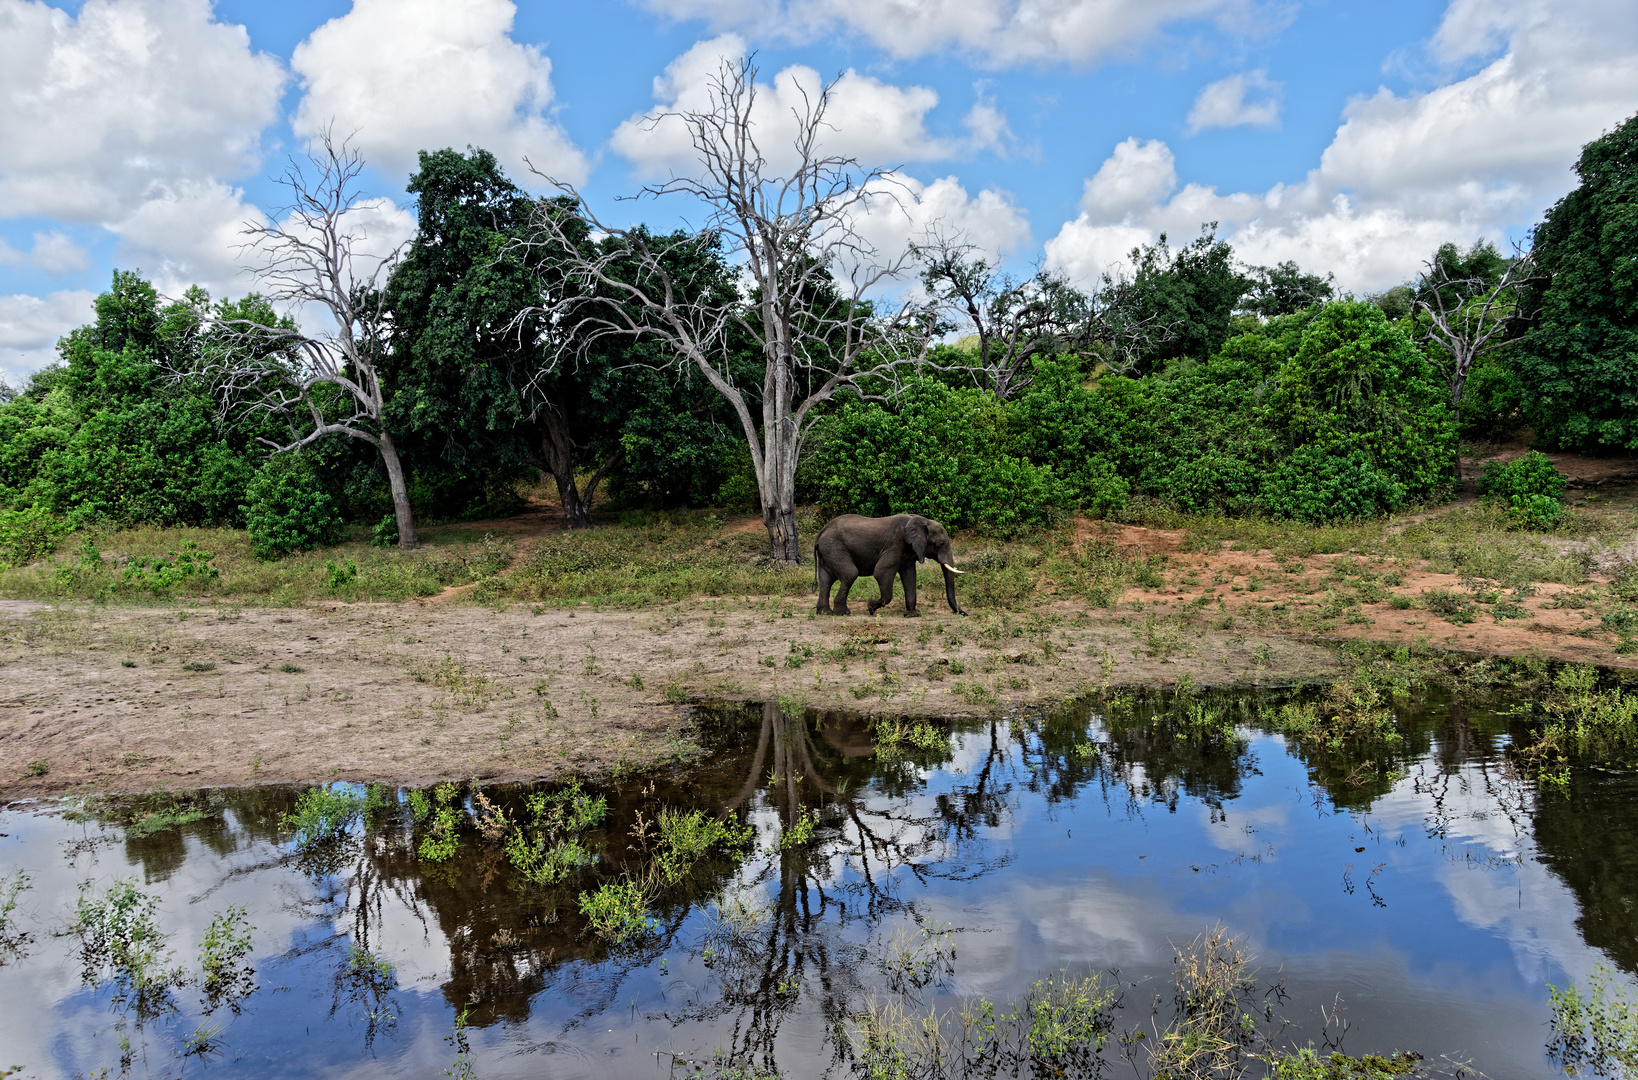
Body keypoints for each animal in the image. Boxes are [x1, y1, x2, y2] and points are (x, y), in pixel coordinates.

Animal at [815, 514, 963, 616]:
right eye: (941, 544)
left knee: (826, 580)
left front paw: (913, 615)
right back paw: (843, 613)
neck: (921, 520)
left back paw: (825, 613)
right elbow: (881, 572)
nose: (964, 613)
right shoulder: (895, 545)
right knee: (850, 574)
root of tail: (821, 531)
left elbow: (910, 577)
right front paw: (870, 607)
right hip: (834, 548)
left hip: (828, 551)